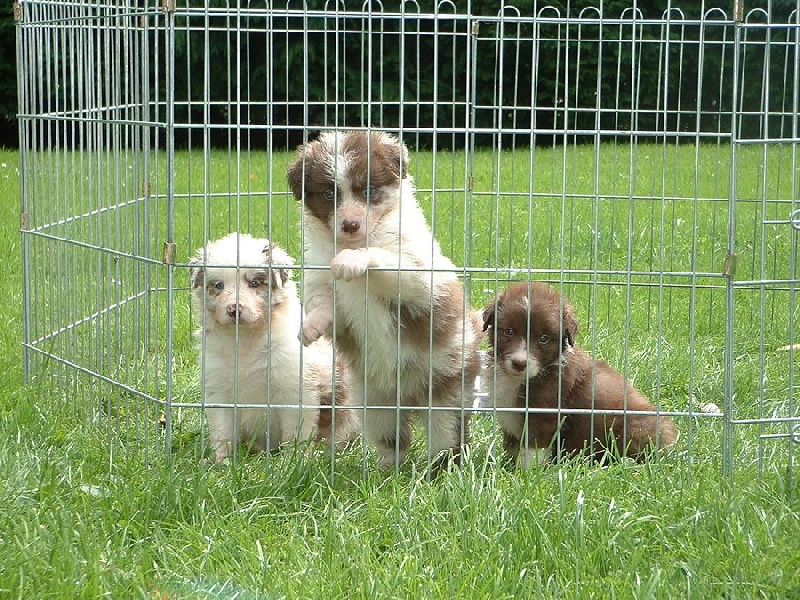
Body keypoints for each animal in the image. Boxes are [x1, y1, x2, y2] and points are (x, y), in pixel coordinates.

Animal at [189, 232, 354, 462]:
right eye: (219, 285)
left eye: (255, 283)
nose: (233, 309)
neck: (246, 341)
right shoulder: (219, 388)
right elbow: (222, 431)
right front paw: (221, 462)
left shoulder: (294, 388)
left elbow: (295, 432)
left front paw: (294, 461)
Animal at [288, 131, 482, 474]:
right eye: (328, 194)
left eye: (368, 190)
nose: (350, 224)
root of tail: (410, 399)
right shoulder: (321, 279)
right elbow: (324, 305)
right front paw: (310, 328)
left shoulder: (418, 272)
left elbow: (384, 259)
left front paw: (351, 261)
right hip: (376, 403)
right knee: (393, 438)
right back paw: (387, 470)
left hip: (448, 392)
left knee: (447, 437)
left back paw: (440, 472)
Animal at [484, 282, 680, 468]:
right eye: (508, 331)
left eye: (544, 338)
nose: (519, 363)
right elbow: (512, 446)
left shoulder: (544, 414)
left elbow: (532, 449)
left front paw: (525, 472)